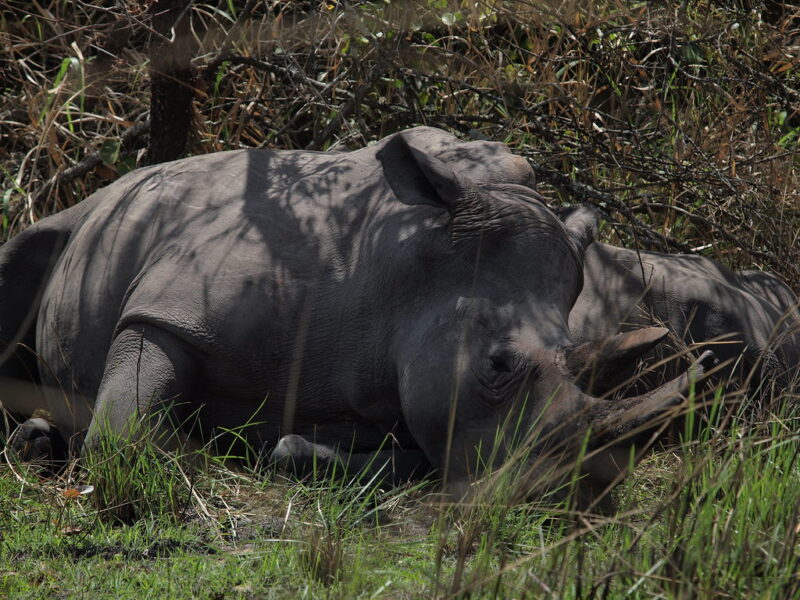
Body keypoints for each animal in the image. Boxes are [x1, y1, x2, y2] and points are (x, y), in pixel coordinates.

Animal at [0, 128, 710, 504]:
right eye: (498, 365)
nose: (571, 493)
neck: (401, 270)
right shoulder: (171, 310)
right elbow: (122, 435)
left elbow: (409, 454)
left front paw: (276, 447)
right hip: (85, 219)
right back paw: (35, 443)